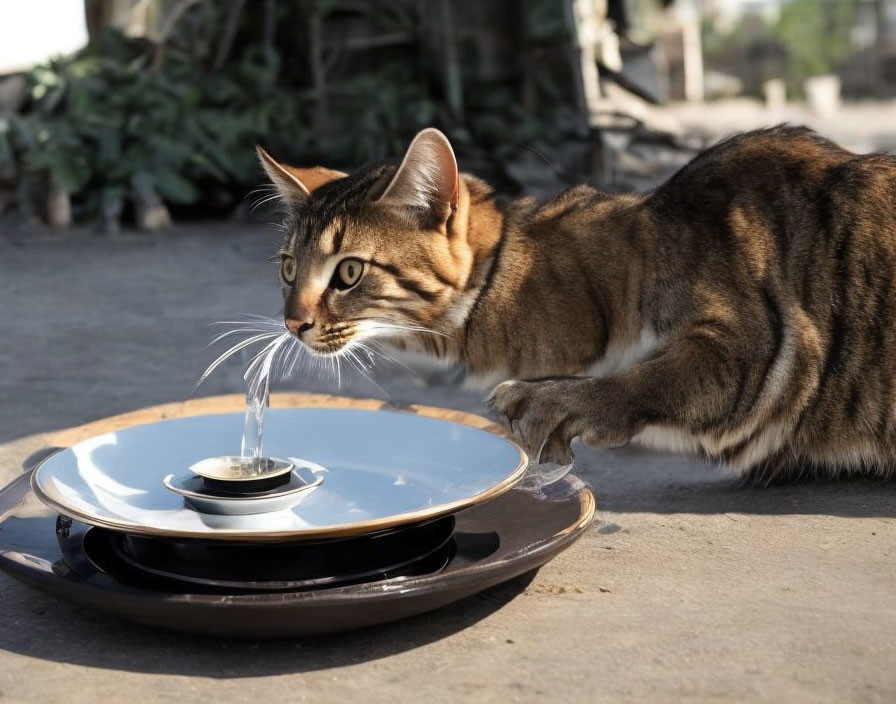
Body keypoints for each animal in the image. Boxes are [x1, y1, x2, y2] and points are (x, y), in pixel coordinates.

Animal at [256, 125, 896, 478]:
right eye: (288, 268)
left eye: (349, 272)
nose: (292, 322)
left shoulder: (770, 346)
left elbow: (652, 378)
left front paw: (557, 401)